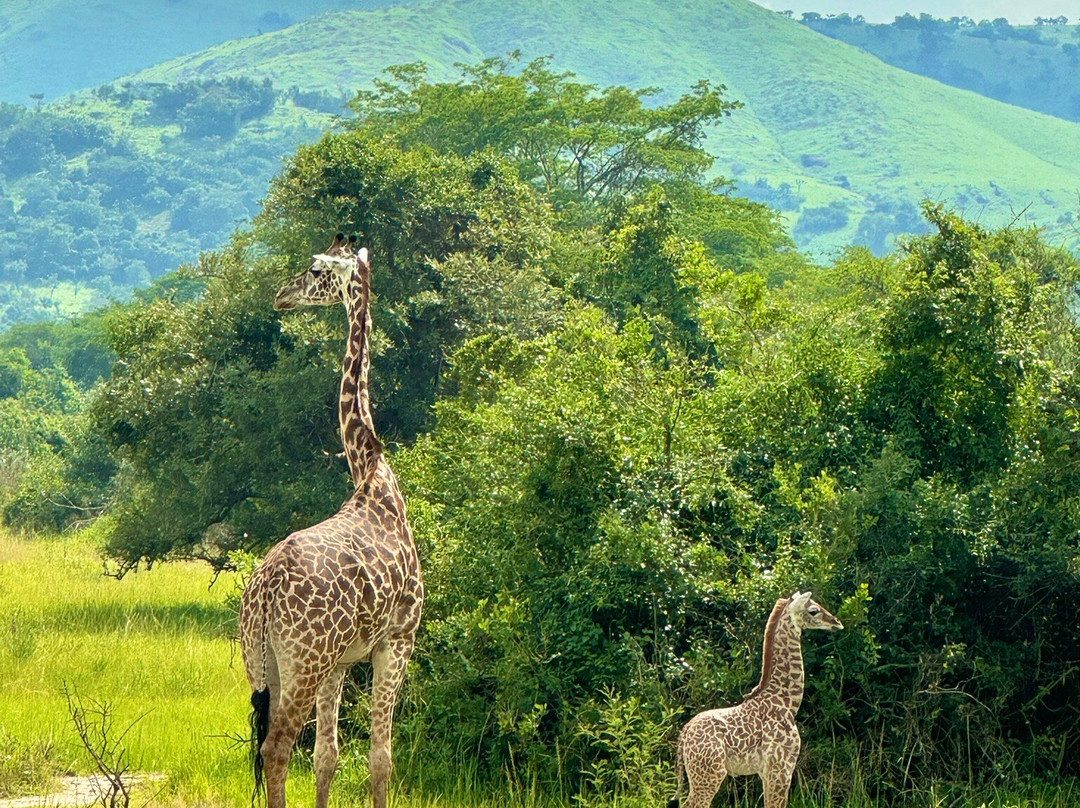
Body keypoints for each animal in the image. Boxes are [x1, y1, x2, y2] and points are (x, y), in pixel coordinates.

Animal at [240, 236, 421, 808]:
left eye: (316, 268)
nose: (281, 295)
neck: (372, 475)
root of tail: (264, 594)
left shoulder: (343, 661)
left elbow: (328, 757)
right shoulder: (396, 640)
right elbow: (381, 758)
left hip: (266, 664)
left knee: (270, 748)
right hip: (303, 662)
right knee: (275, 748)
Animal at [673, 587, 842, 808]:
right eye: (813, 610)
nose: (836, 622)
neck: (787, 702)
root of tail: (684, 734)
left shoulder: (768, 772)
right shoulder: (780, 769)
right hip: (709, 774)